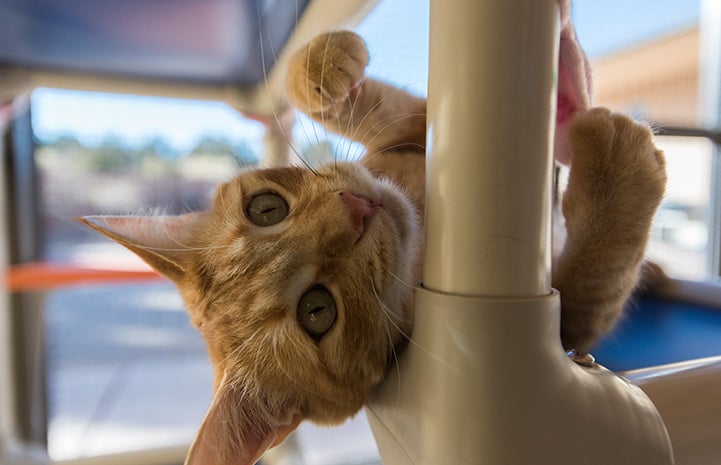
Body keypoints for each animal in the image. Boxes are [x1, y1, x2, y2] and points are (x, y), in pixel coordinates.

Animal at [80, 29, 664, 464]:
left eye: (265, 208)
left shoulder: (411, 126)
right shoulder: (577, 325)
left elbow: (358, 99)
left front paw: (325, 68)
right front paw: (618, 166)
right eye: (318, 312)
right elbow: (597, 272)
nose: (356, 208)